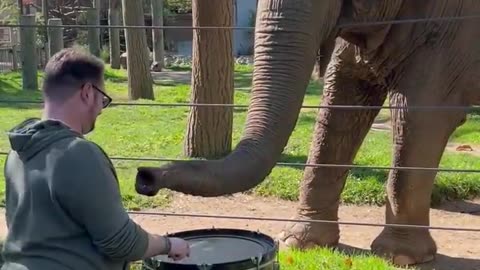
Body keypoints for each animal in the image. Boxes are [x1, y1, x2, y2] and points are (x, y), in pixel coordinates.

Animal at [134, 0, 480, 266]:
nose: (144, 177)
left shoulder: (453, 25)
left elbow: (420, 114)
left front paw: (399, 257)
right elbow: (340, 103)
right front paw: (300, 242)